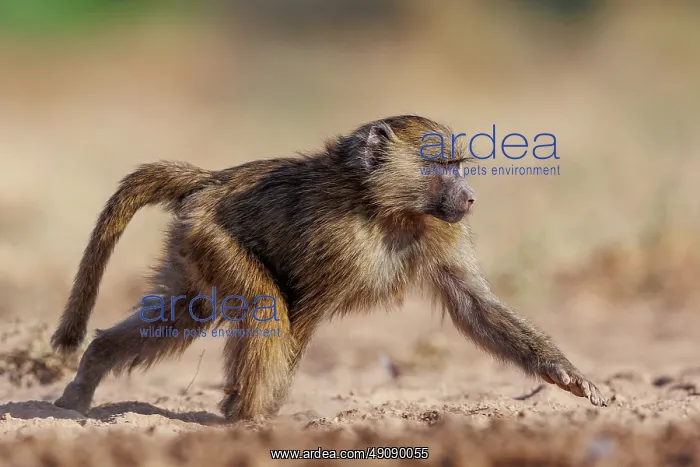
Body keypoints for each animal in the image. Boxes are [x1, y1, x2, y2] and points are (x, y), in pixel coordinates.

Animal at [50, 115, 607, 420]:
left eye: (458, 167)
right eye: (442, 166)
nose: (470, 198)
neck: (383, 205)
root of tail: (210, 180)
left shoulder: (442, 230)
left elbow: (476, 307)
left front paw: (567, 376)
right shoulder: (335, 242)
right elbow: (298, 315)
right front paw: (253, 412)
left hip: (191, 247)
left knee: (183, 313)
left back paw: (88, 374)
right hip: (210, 235)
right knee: (263, 306)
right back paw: (249, 417)